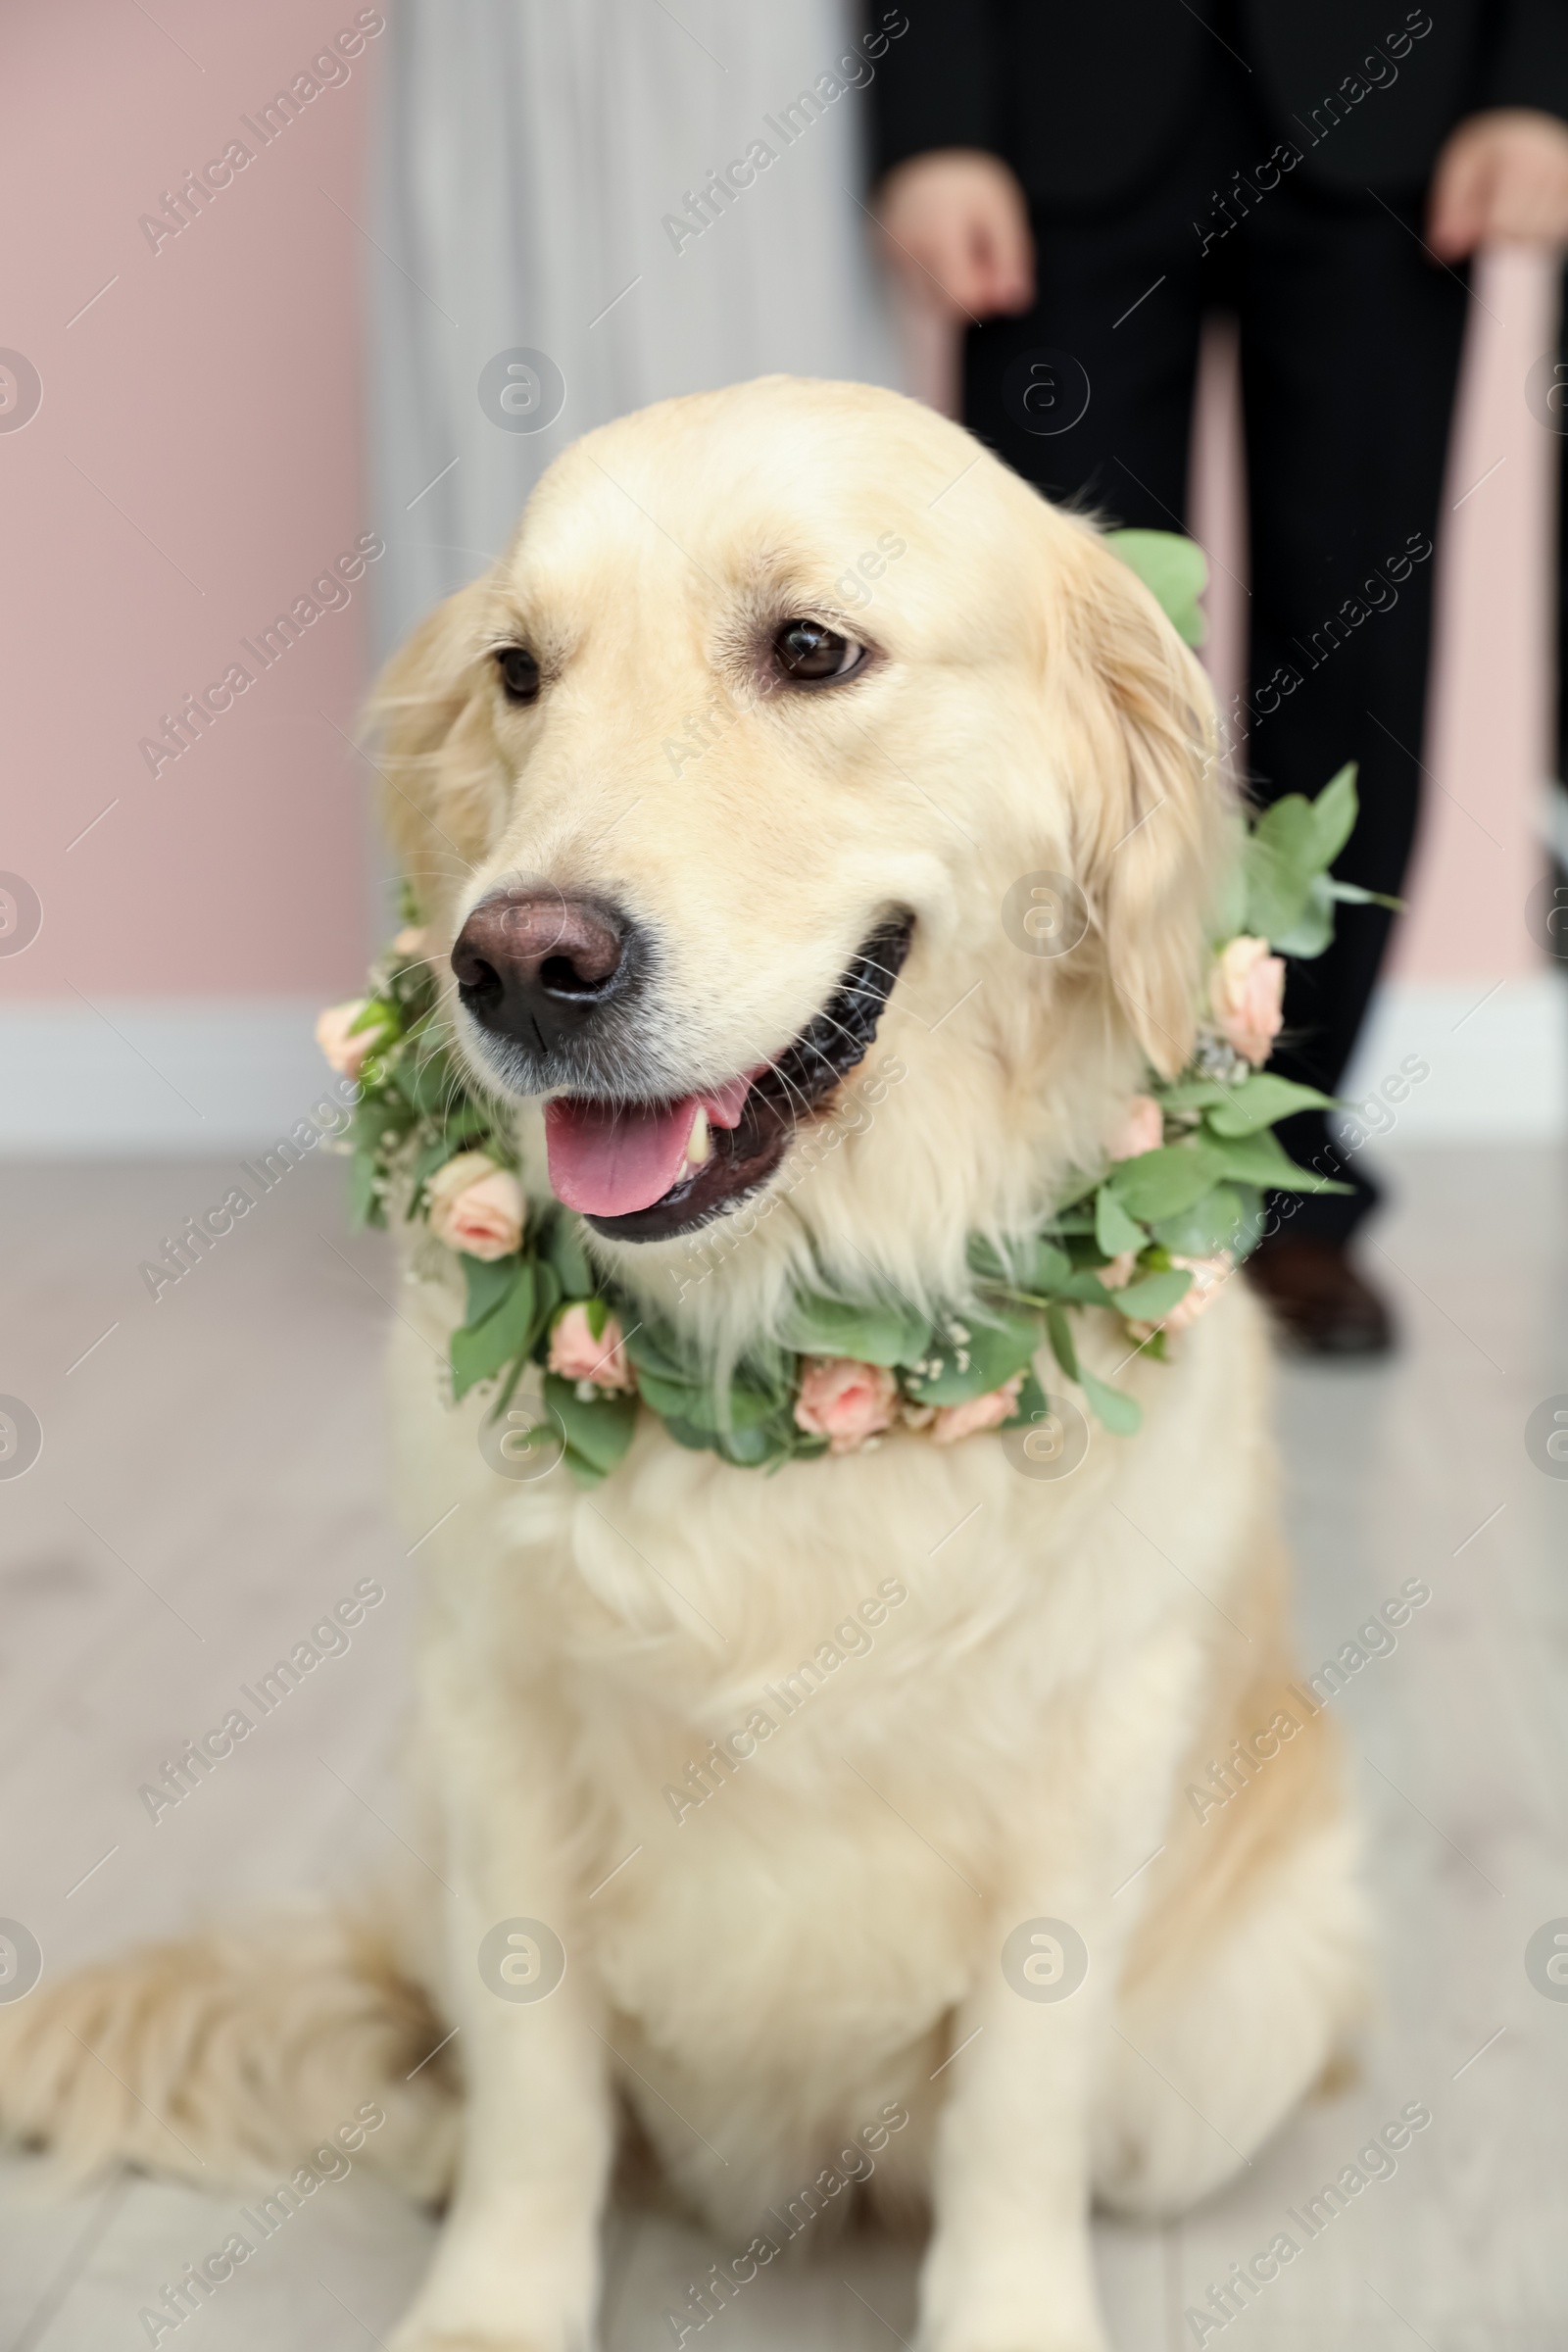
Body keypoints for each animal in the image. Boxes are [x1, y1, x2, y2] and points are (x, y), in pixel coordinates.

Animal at [0, 376, 1363, 2342]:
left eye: (811, 650)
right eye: (519, 671)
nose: (516, 962)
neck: (775, 1340)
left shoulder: (1087, 1777)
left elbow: (1016, 2122)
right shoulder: (495, 1732)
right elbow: (539, 2090)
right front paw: (491, 2308)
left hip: (1237, 2030)